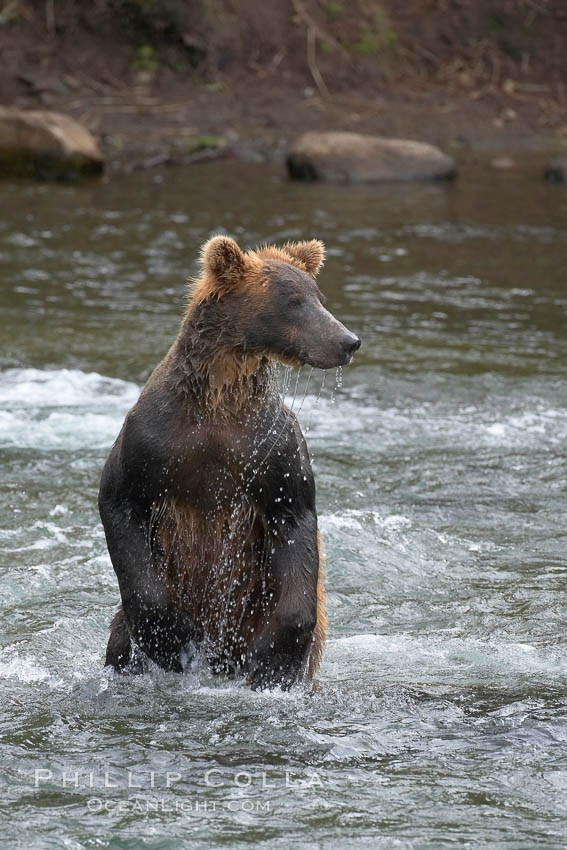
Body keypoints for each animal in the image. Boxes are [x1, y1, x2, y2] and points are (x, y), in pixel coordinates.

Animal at [98, 235, 360, 684]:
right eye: (293, 300)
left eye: (319, 296)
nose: (348, 340)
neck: (218, 402)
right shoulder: (151, 440)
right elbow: (120, 500)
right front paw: (170, 637)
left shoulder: (270, 450)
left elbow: (295, 521)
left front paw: (271, 659)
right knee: (120, 641)